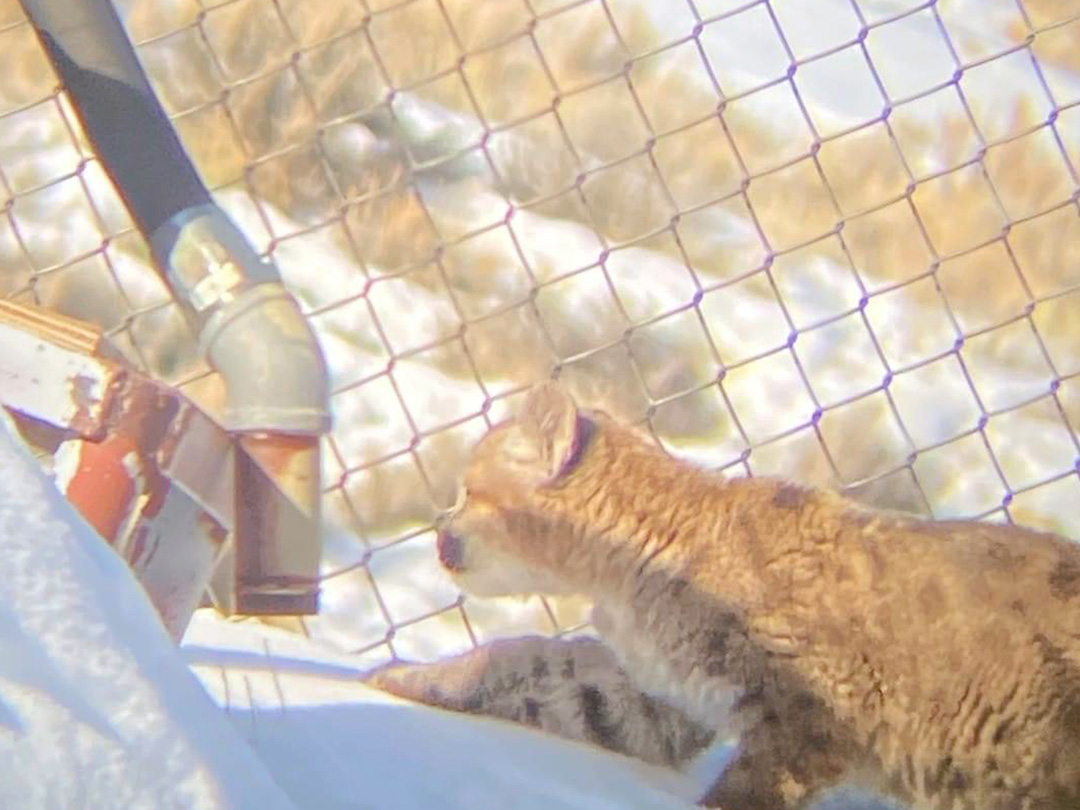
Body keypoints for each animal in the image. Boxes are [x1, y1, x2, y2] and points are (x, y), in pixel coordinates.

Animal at [365, 382, 1080, 810]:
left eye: (466, 490)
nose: (437, 530)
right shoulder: (653, 691)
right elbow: (530, 669)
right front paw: (399, 679)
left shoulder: (807, 726)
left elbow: (739, 797)